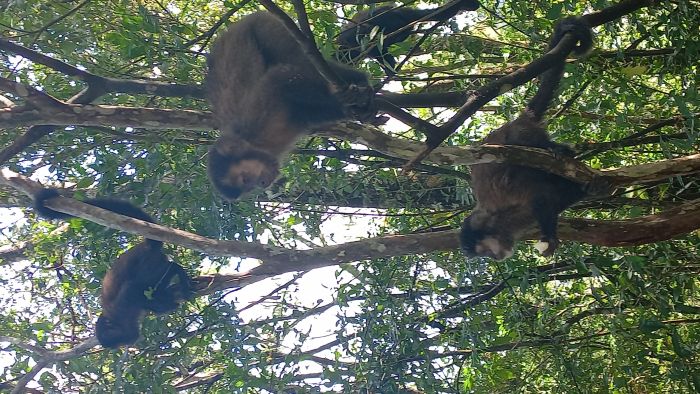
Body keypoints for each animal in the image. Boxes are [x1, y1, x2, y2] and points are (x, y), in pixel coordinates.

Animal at [32, 188, 191, 348]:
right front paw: (165, 304)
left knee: (159, 273)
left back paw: (178, 273)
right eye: (119, 341)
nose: (129, 340)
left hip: (148, 263)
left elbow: (131, 288)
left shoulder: (121, 307)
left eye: (116, 337)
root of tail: (145, 246)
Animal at [205, 11, 374, 200]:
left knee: (299, 60)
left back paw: (359, 80)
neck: (257, 144)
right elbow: (310, 114)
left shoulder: (256, 115)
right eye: (247, 187)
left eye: (246, 178)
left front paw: (346, 101)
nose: (261, 184)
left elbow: (279, 79)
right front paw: (346, 109)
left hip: (262, 24)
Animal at [462, 17, 592, 262]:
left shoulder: (505, 208)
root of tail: (519, 119)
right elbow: (566, 195)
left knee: (527, 146)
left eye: (483, 252)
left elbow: (540, 197)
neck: (499, 224)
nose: (494, 258)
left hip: (521, 133)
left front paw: (549, 237)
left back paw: (556, 149)